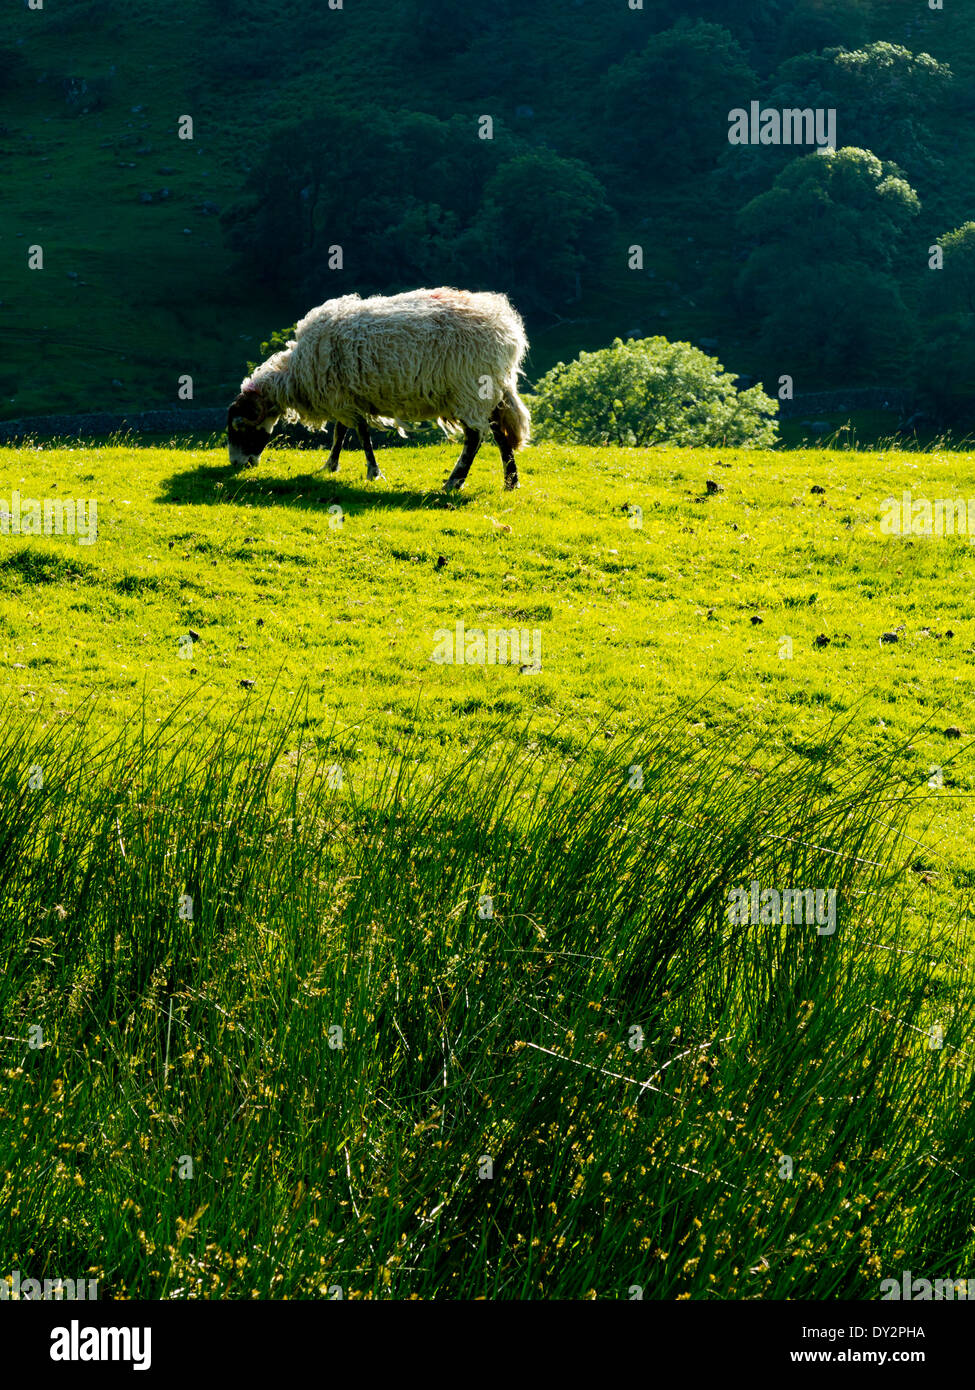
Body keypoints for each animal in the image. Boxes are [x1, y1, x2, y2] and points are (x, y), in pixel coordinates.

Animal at [226, 284, 531, 492]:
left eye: (240, 427)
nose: (237, 464)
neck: (293, 374)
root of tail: (506, 327)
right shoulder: (345, 397)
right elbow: (340, 433)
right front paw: (330, 465)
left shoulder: (343, 398)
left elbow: (360, 434)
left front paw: (373, 472)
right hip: (487, 390)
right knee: (499, 432)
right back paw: (510, 481)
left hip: (468, 386)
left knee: (475, 436)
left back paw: (454, 481)